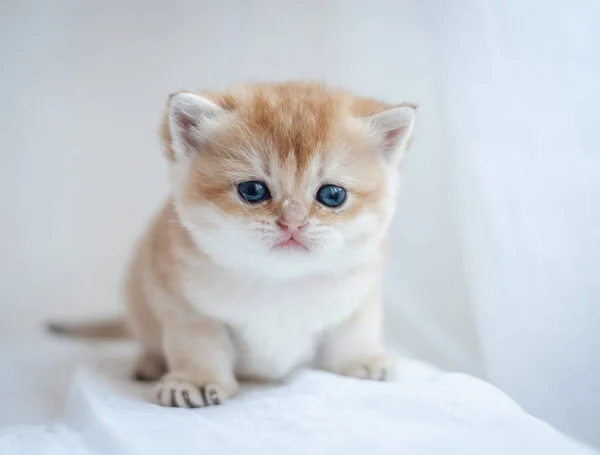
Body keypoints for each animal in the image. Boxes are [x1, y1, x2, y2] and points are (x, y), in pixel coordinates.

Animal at [54, 83, 414, 410]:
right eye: (253, 190)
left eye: (332, 195)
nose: (293, 223)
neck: (280, 281)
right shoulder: (180, 302)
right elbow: (199, 345)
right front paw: (196, 381)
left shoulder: (362, 292)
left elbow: (355, 331)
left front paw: (362, 360)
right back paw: (150, 363)